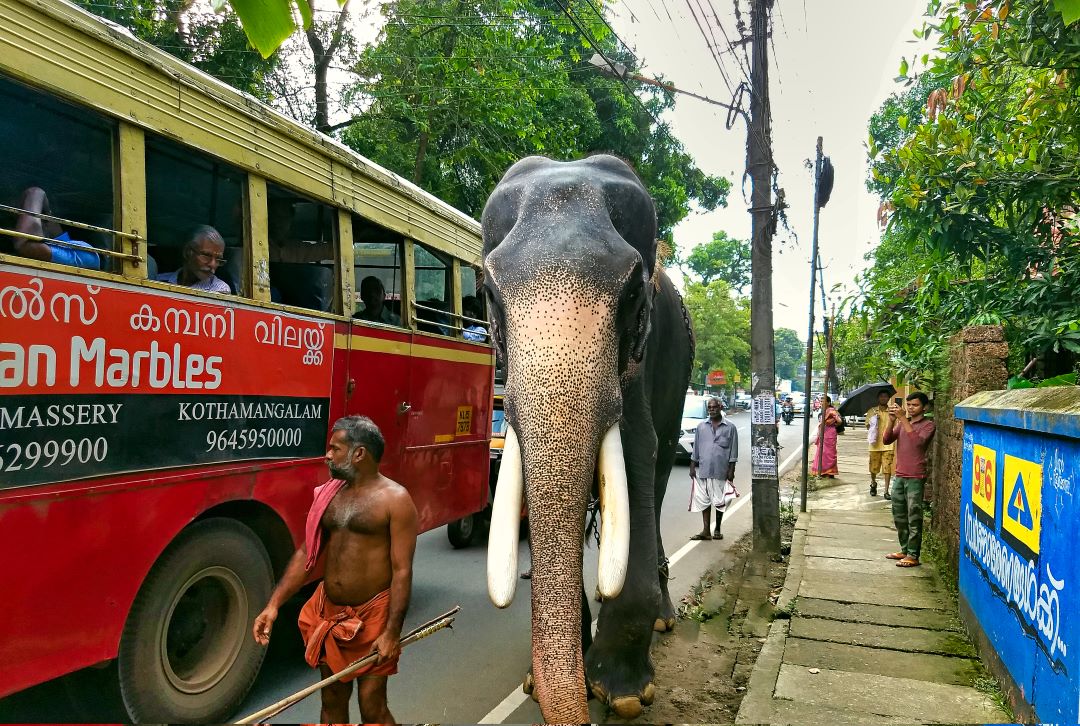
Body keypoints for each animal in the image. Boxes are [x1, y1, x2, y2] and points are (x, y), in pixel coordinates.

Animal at [479, 153, 691, 721]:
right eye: (489, 296)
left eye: (635, 294)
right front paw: (539, 683)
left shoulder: (638, 366)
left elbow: (639, 456)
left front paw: (622, 693)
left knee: (662, 469)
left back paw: (663, 618)